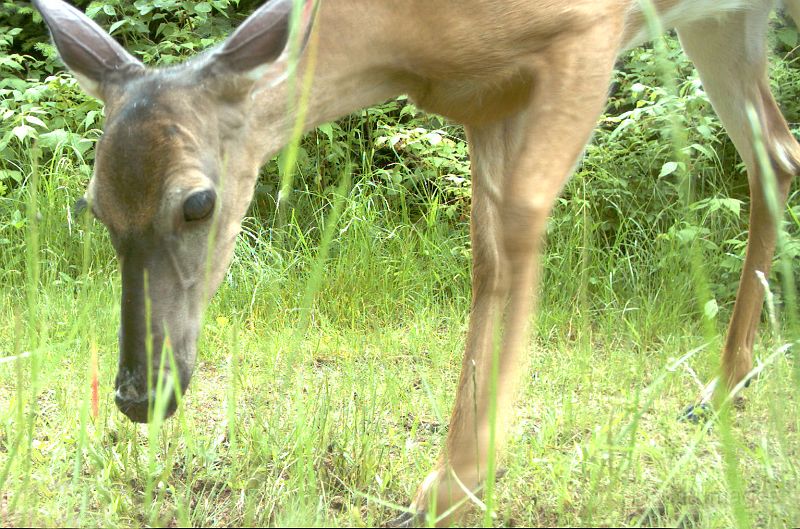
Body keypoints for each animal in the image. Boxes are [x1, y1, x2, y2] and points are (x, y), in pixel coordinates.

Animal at [37, 0, 800, 520]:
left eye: (197, 203)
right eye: (96, 207)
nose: (137, 394)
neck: (402, 39)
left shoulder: (588, 32)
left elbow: (523, 222)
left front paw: (463, 482)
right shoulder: (488, 98)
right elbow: (488, 260)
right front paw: (446, 483)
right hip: (723, 22)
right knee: (776, 151)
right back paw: (722, 387)